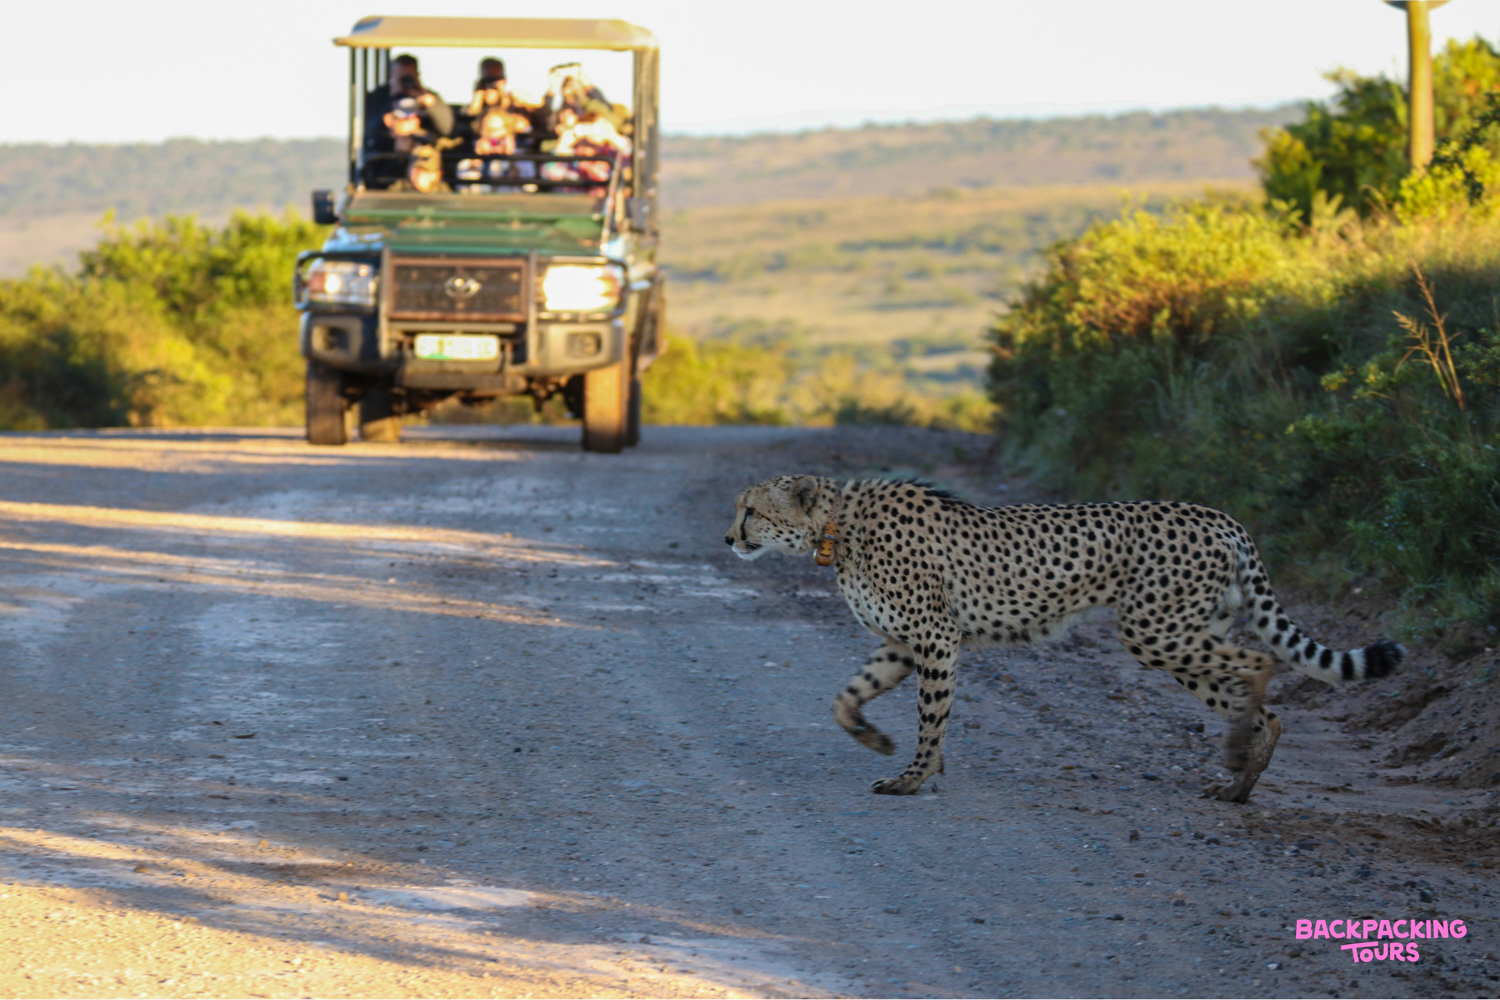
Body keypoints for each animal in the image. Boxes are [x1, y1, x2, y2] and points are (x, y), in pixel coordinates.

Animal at [724, 475, 1403, 802]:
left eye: (750, 510)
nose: (728, 538)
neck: (839, 525)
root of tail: (1219, 516)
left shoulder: (936, 636)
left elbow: (932, 715)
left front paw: (914, 777)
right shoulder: (904, 642)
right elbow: (845, 697)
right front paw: (877, 741)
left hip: (1155, 631)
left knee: (1259, 661)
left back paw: (1237, 760)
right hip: (1180, 635)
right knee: (1263, 706)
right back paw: (1238, 784)